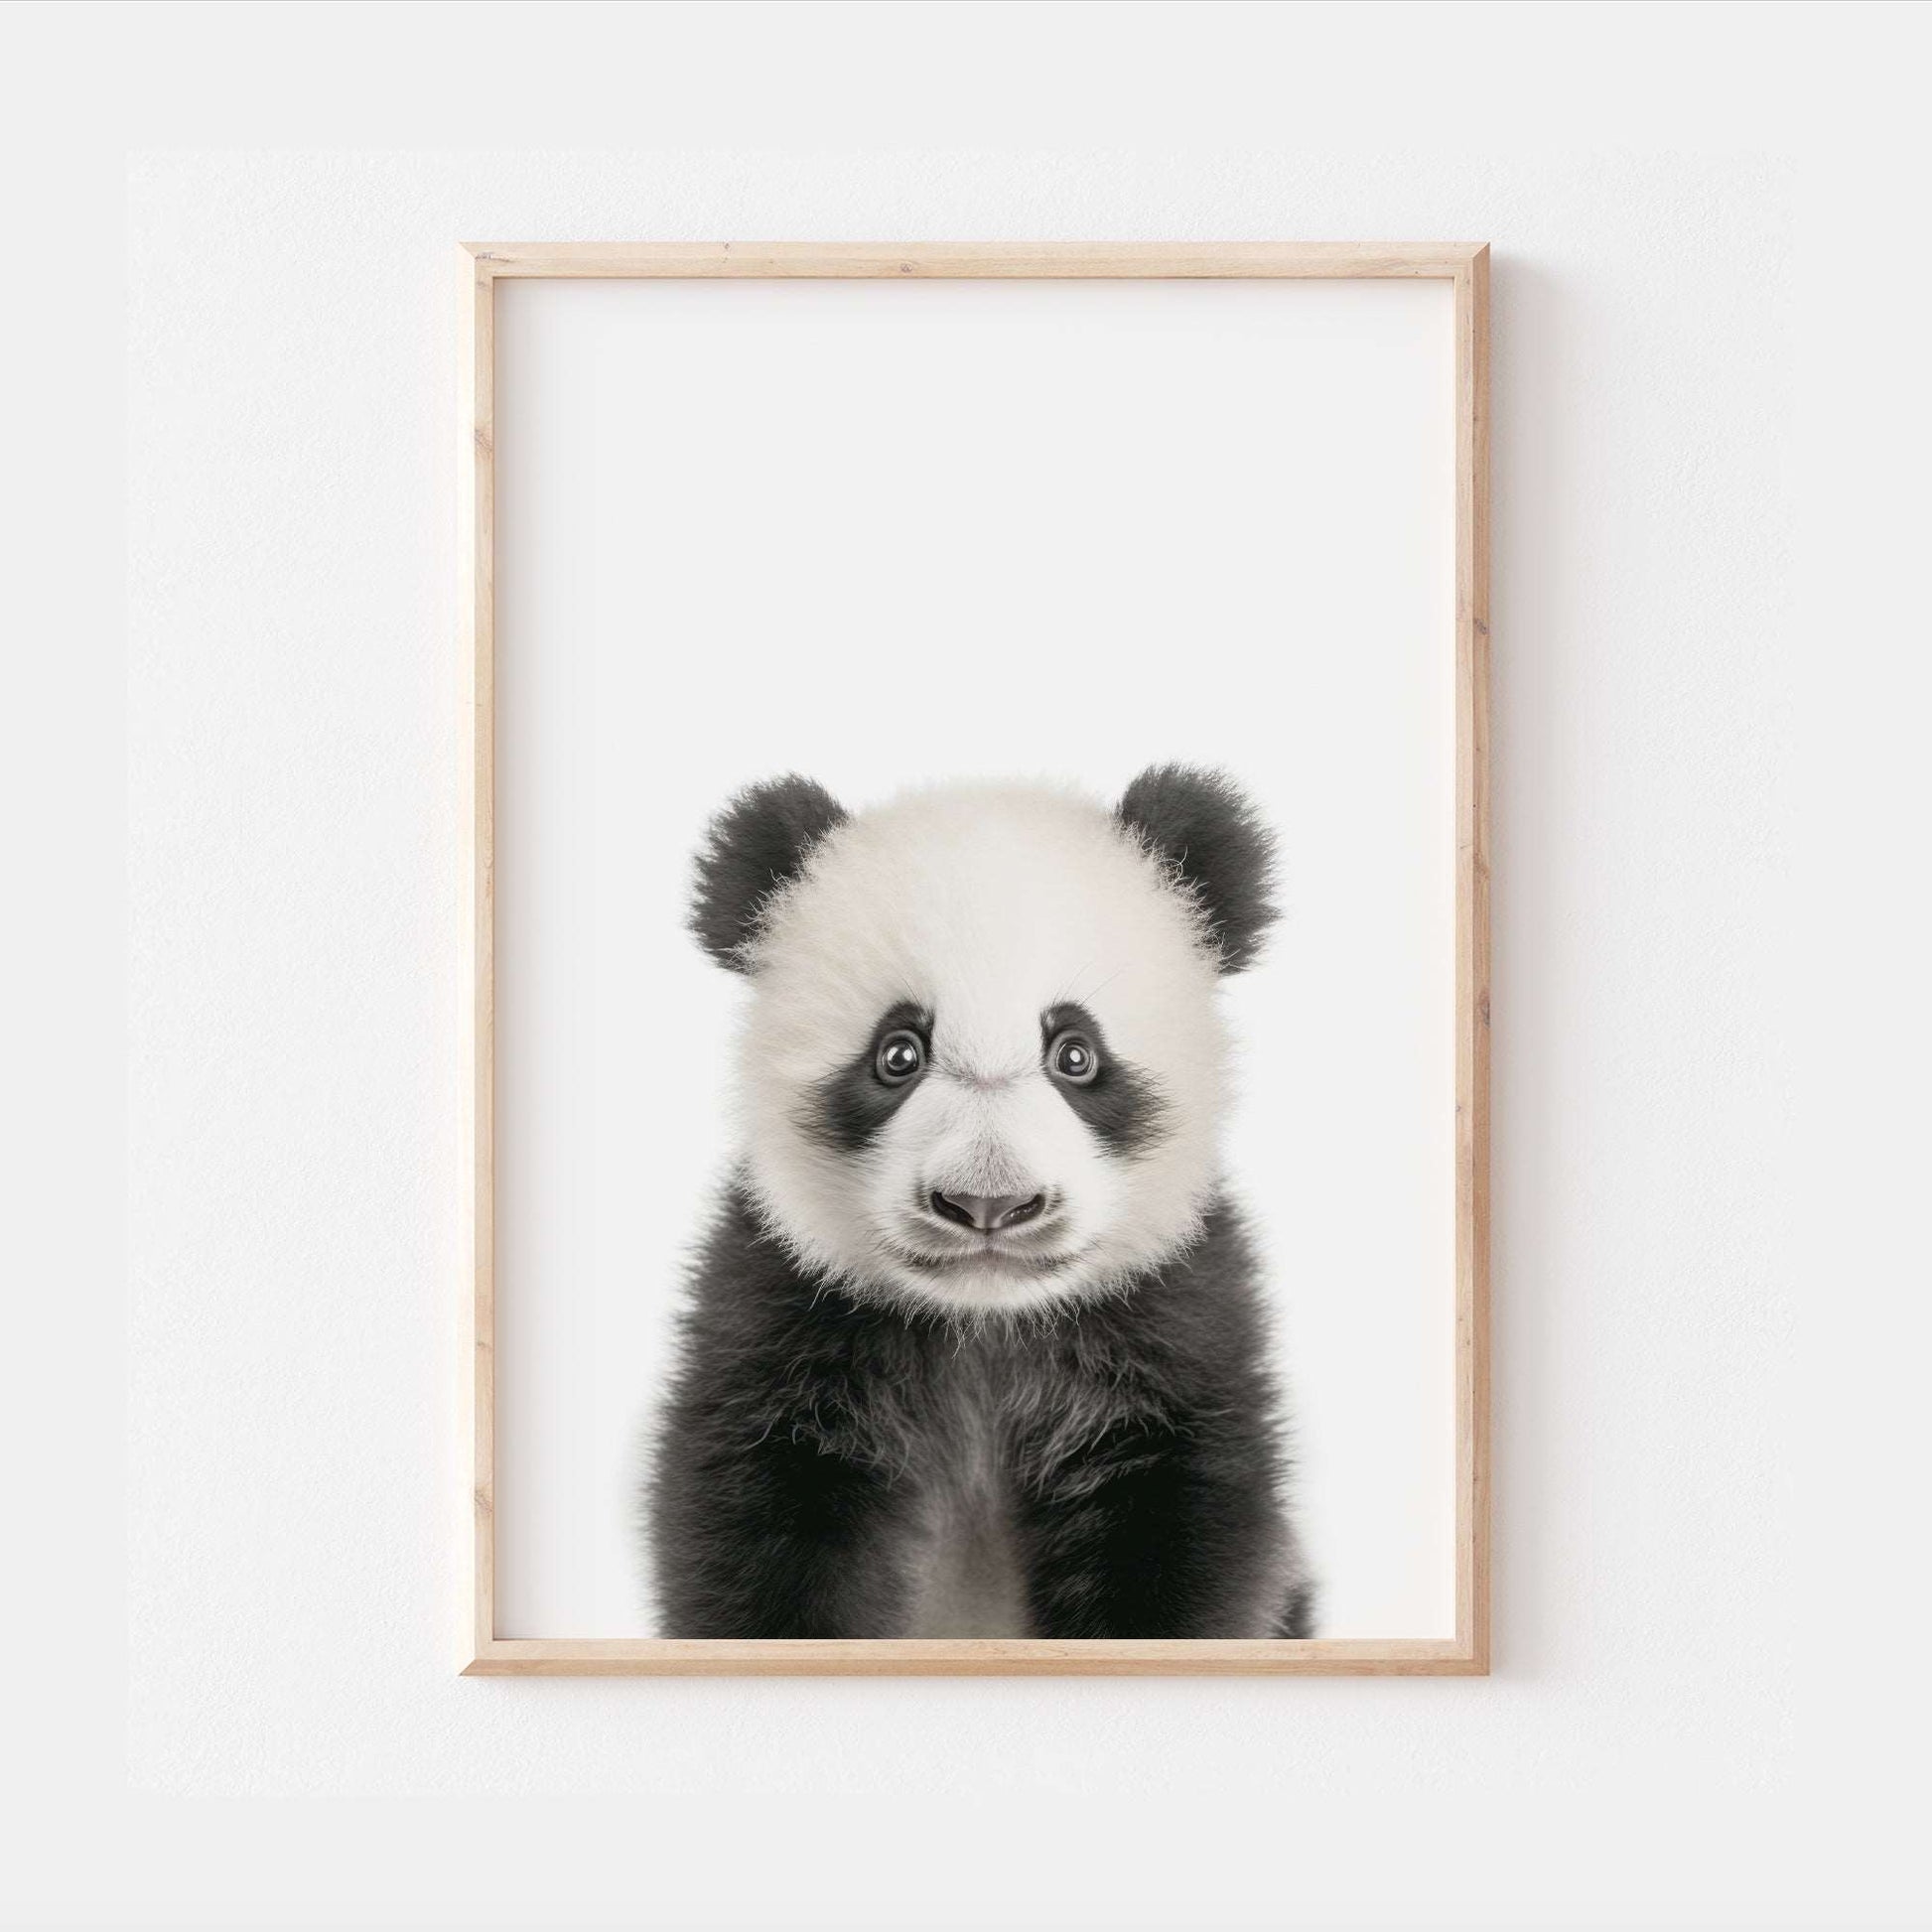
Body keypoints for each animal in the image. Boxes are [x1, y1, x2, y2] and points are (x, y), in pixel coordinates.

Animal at [647, 764, 1313, 1640]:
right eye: (897, 1054)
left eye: (1076, 1055)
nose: (988, 1205)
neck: (985, 1326)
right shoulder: (780, 1309)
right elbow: (754, 1518)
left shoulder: (1174, 1318)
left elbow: (1187, 1524)